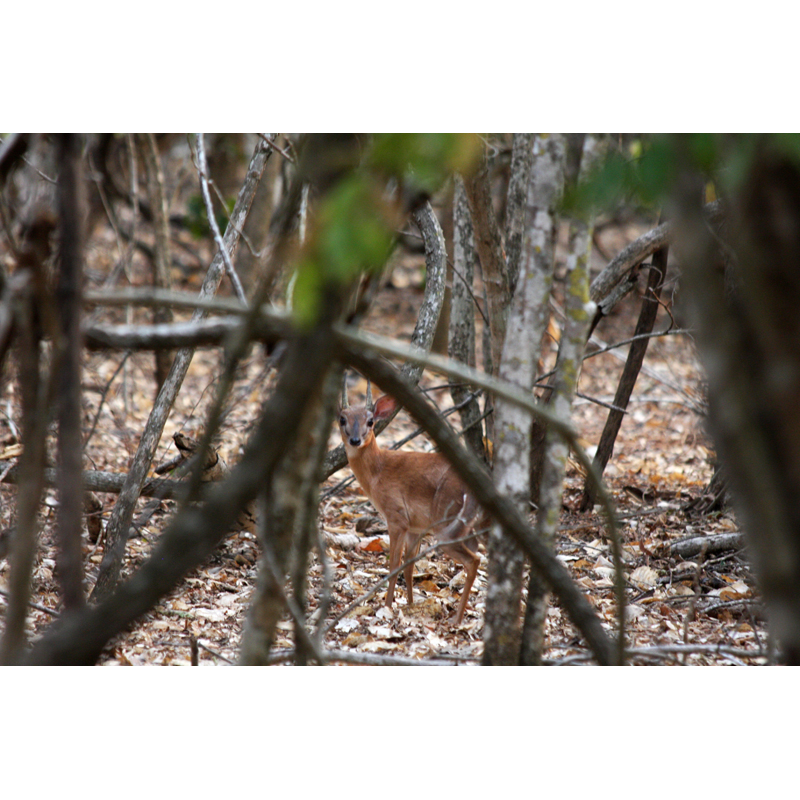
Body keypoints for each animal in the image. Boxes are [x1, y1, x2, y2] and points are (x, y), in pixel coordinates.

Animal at [336, 376, 484, 624]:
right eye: (342, 419)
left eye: (371, 421)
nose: (355, 440)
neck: (377, 472)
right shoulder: (416, 527)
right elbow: (409, 566)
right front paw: (411, 604)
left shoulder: (396, 516)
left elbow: (394, 565)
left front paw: (387, 606)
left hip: (445, 522)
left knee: (473, 560)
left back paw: (457, 619)